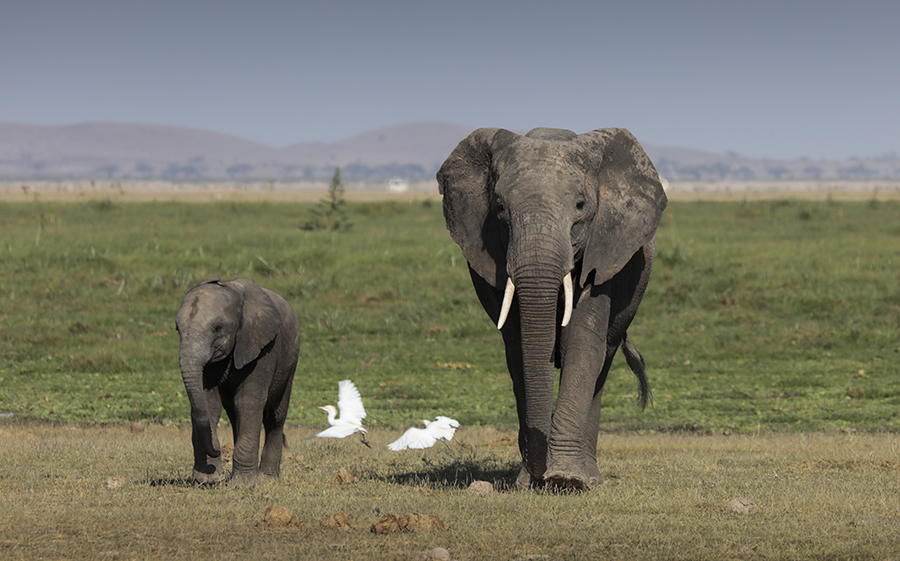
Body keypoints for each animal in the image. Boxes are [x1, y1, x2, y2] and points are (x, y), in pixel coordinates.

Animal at [174, 276, 300, 486]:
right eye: (177, 329)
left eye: (217, 328)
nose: (217, 449)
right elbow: (208, 404)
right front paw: (208, 480)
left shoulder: (261, 348)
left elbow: (248, 402)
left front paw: (243, 485)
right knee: (235, 416)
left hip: (290, 362)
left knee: (275, 417)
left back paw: (268, 479)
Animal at [440, 128, 664, 490]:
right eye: (499, 208)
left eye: (580, 206)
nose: (538, 474)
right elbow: (518, 347)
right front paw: (527, 482)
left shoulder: (605, 250)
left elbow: (582, 341)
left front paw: (565, 479)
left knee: (604, 361)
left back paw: (590, 477)